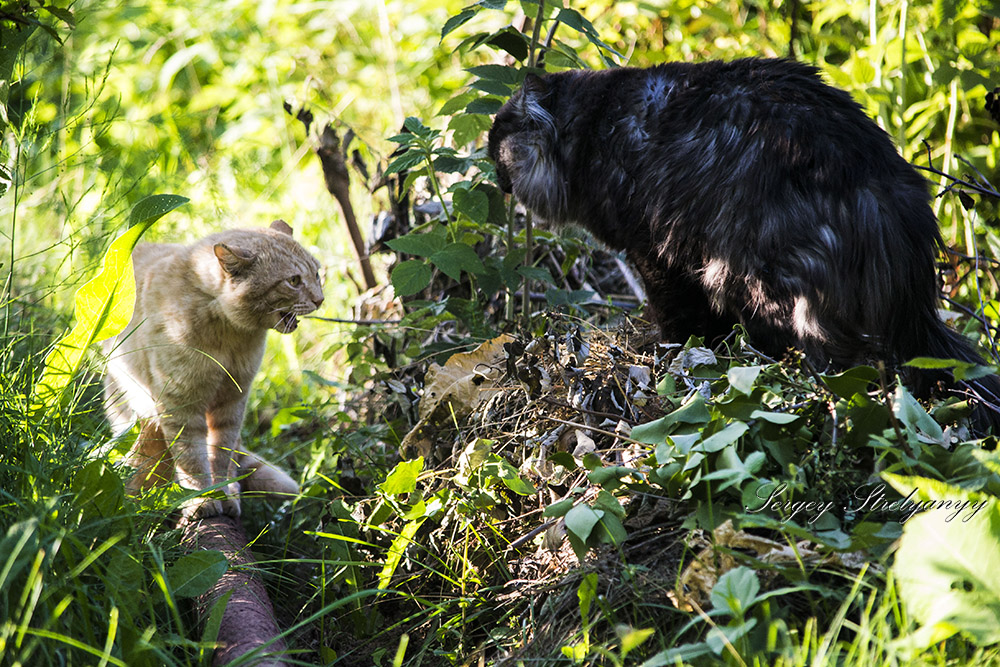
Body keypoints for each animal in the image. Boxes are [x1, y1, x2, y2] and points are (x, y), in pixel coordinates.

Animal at [102, 222, 322, 520]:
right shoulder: (181, 403)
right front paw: (201, 499)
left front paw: (223, 493)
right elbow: (192, 459)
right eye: (294, 281)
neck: (228, 334)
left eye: (317, 274)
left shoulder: (233, 402)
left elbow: (220, 455)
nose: (320, 300)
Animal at [490, 60, 1000, 430]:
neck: (592, 127)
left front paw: (671, 357)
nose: (498, 184)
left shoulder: (654, 253)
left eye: (500, 154)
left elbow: (680, 321)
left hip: (752, 280)